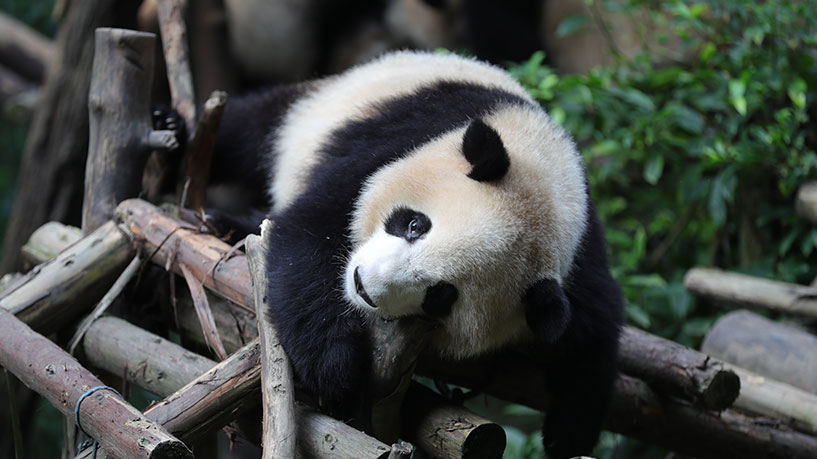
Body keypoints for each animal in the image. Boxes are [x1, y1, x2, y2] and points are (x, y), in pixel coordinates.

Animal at [209, 50, 624, 459]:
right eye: (414, 225)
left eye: (441, 296)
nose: (363, 285)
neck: (548, 177)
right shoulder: (402, 142)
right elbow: (308, 229)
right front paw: (334, 368)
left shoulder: (578, 259)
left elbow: (591, 337)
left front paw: (567, 436)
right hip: (325, 106)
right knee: (253, 127)